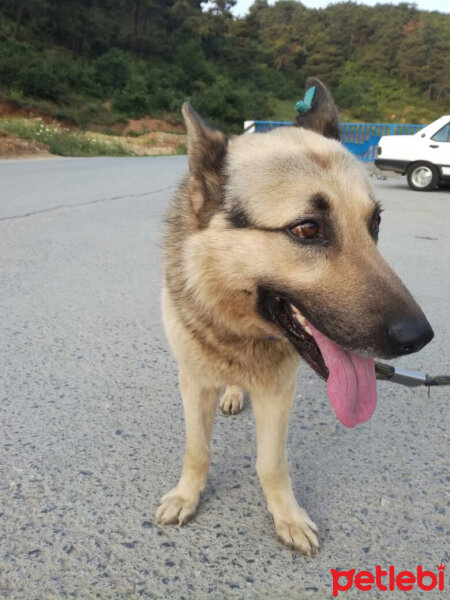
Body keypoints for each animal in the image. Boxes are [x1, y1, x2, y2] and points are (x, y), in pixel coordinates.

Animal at [155, 77, 432, 556]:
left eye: (375, 223)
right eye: (307, 229)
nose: (419, 337)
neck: (240, 330)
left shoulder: (278, 393)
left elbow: (271, 463)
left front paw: (287, 516)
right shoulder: (194, 383)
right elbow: (197, 450)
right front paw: (187, 495)